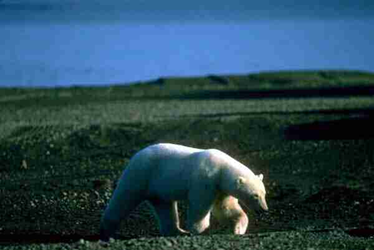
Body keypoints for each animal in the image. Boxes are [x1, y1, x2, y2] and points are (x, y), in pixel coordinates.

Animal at [100, 143, 268, 240]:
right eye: (255, 195)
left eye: (264, 194)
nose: (264, 209)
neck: (221, 168)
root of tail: (137, 154)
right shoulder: (205, 180)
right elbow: (200, 206)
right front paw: (198, 230)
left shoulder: (221, 189)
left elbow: (225, 208)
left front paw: (238, 228)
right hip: (140, 174)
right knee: (123, 198)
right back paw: (106, 230)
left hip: (158, 187)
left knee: (165, 208)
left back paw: (179, 231)